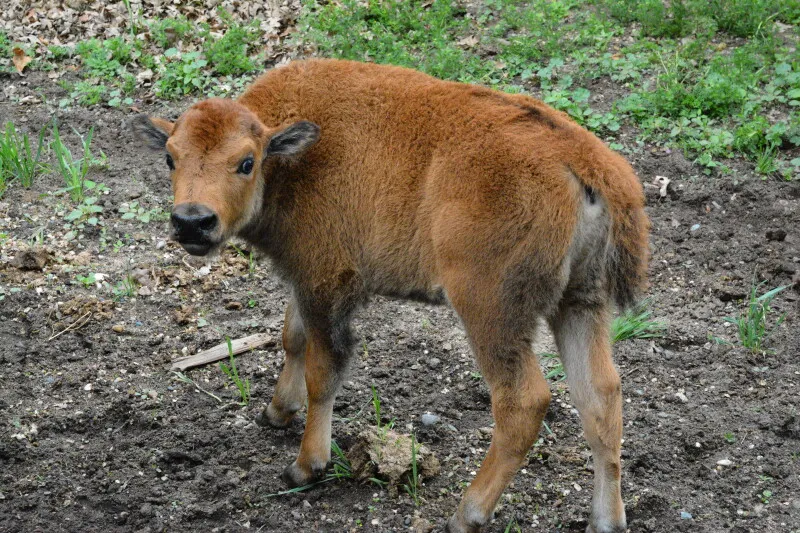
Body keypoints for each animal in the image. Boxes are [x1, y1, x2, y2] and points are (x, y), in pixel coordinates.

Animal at [131, 58, 649, 533]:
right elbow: (292, 338)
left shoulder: (326, 280)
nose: (192, 221)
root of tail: (585, 161)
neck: (292, 155)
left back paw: (466, 515)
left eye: (245, 162)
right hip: (581, 304)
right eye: (170, 158)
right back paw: (606, 520)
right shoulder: (304, 278)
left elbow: (324, 368)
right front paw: (276, 412)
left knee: (523, 403)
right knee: (601, 397)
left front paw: (305, 465)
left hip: (492, 311)